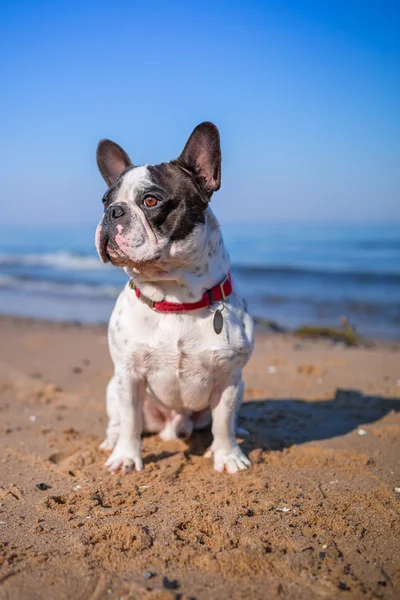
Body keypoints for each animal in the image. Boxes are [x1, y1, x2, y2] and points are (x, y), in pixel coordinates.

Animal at [94, 124, 253, 476]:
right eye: (104, 201)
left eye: (151, 200)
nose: (112, 212)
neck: (175, 299)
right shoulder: (129, 375)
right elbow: (129, 421)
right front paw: (126, 457)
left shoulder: (228, 379)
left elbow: (223, 423)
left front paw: (228, 456)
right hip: (113, 386)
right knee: (117, 421)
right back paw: (111, 442)